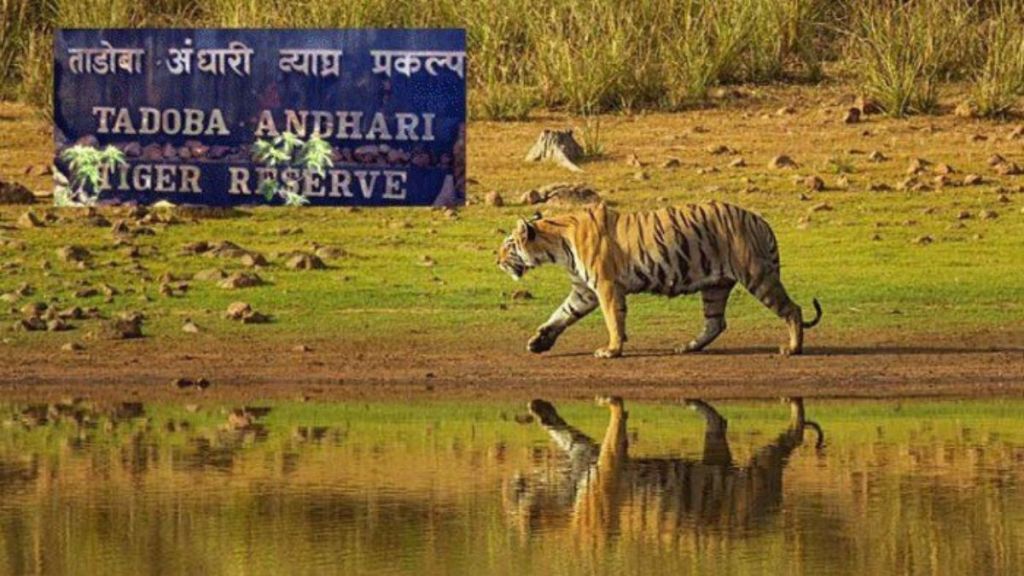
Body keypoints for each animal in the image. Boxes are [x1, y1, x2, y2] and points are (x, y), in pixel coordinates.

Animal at [496, 201, 821, 358]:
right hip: (715, 286)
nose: (496, 260)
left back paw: (793, 349)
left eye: (508, 245)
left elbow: (613, 320)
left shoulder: (605, 286)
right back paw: (687, 347)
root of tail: (761, 220)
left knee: (792, 310)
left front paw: (612, 350)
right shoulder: (583, 291)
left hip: (756, 275)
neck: (556, 245)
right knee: (715, 323)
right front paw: (539, 341)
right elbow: (562, 314)